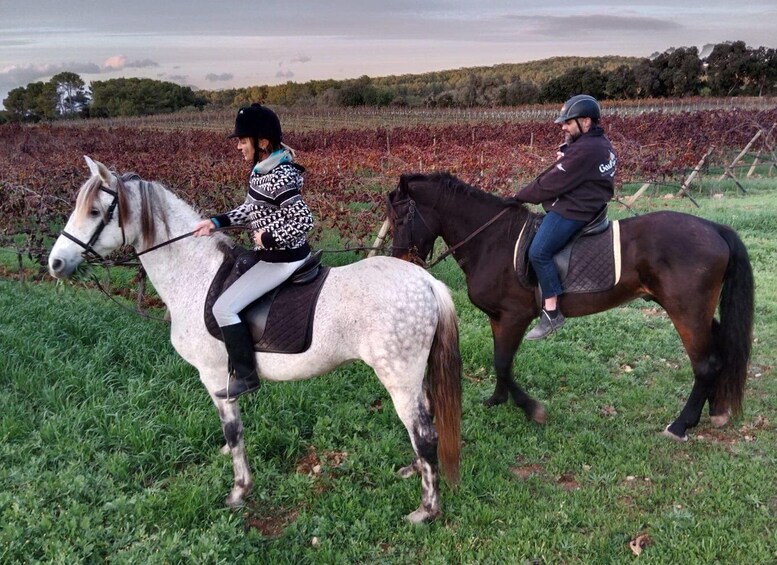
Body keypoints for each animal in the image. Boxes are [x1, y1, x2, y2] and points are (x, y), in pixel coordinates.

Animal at [48, 155, 460, 524]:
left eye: (96, 211)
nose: (55, 263)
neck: (196, 274)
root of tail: (427, 281)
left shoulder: (216, 377)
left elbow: (233, 433)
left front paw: (239, 490)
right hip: (413, 377)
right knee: (424, 425)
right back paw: (414, 470)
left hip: (399, 378)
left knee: (424, 433)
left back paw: (427, 510)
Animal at [388, 172, 752, 440]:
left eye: (402, 217)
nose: (400, 260)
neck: (493, 241)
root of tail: (714, 229)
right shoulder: (498, 318)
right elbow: (500, 361)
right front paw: (497, 399)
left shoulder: (516, 316)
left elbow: (503, 362)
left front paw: (531, 408)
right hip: (700, 312)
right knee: (719, 353)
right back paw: (716, 409)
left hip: (686, 313)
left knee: (705, 364)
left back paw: (681, 424)